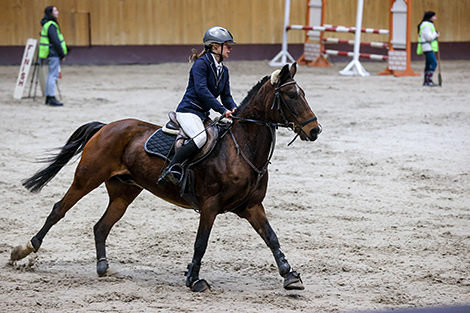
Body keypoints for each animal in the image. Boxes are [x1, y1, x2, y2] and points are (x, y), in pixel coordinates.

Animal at [11, 62, 322, 292]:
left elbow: (271, 237)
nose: (315, 130)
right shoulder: (210, 205)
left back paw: (102, 266)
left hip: (124, 192)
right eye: (292, 96)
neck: (241, 147)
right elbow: (201, 242)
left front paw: (290, 275)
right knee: (59, 210)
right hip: (87, 178)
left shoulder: (252, 206)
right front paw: (194, 279)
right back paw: (24, 249)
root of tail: (107, 126)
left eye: (305, 93)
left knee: (101, 226)